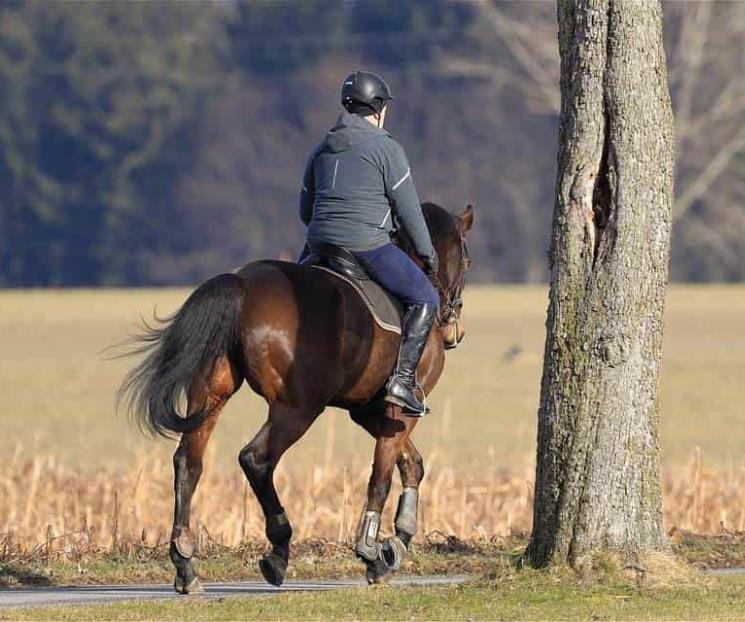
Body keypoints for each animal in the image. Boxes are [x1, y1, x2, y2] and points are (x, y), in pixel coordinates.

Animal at [118, 201, 474, 592]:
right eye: (468, 261)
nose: (454, 328)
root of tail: (242, 284)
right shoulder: (400, 411)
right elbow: (381, 476)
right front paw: (373, 551)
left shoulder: (368, 411)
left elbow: (412, 464)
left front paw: (398, 541)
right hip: (298, 409)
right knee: (256, 459)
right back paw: (278, 550)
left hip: (212, 392)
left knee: (188, 461)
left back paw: (185, 563)